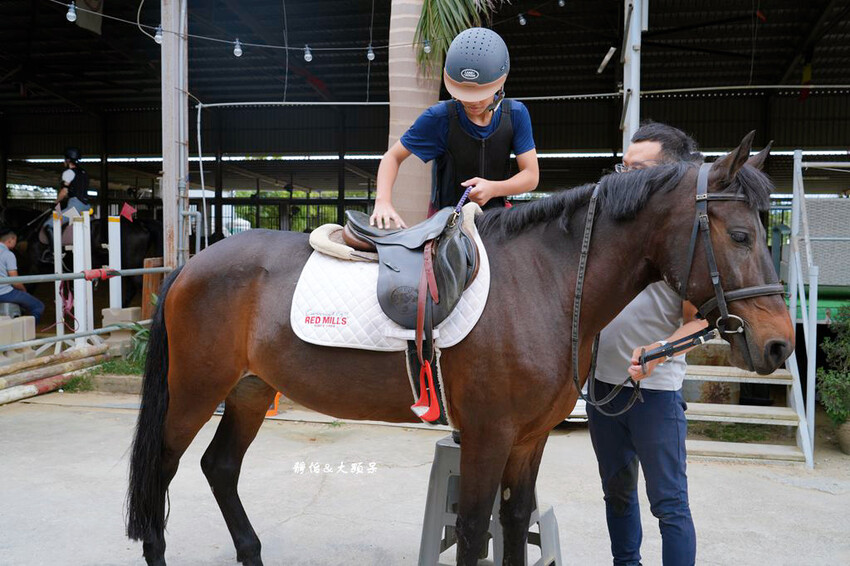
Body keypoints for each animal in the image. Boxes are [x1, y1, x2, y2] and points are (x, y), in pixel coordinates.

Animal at [126, 132, 794, 566]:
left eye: (766, 232)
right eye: (741, 235)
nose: (780, 344)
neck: (545, 281)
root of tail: (189, 266)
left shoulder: (528, 439)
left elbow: (515, 524)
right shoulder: (488, 436)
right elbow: (474, 533)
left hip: (248, 390)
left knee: (220, 468)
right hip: (195, 393)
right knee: (162, 469)